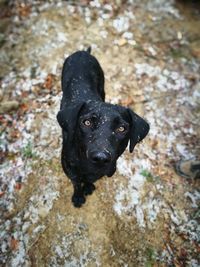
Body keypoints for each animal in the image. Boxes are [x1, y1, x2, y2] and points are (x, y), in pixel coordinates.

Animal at [57, 48, 149, 208]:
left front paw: (88, 187)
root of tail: (83, 52)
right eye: (87, 122)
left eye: (121, 129)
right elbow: (76, 183)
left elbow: (89, 180)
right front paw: (78, 197)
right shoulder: (70, 171)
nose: (100, 159)